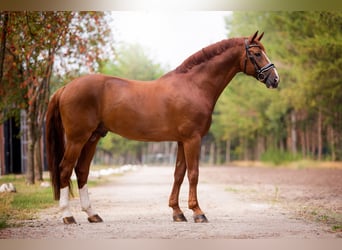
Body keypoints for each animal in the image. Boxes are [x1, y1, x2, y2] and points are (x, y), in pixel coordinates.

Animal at [45, 31, 280, 225]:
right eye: (257, 53)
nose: (275, 79)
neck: (193, 86)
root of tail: (65, 88)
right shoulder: (193, 139)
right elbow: (193, 174)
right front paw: (198, 212)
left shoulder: (182, 140)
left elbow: (179, 173)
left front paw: (177, 212)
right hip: (77, 139)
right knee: (65, 170)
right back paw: (68, 216)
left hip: (92, 138)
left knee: (81, 171)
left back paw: (92, 214)